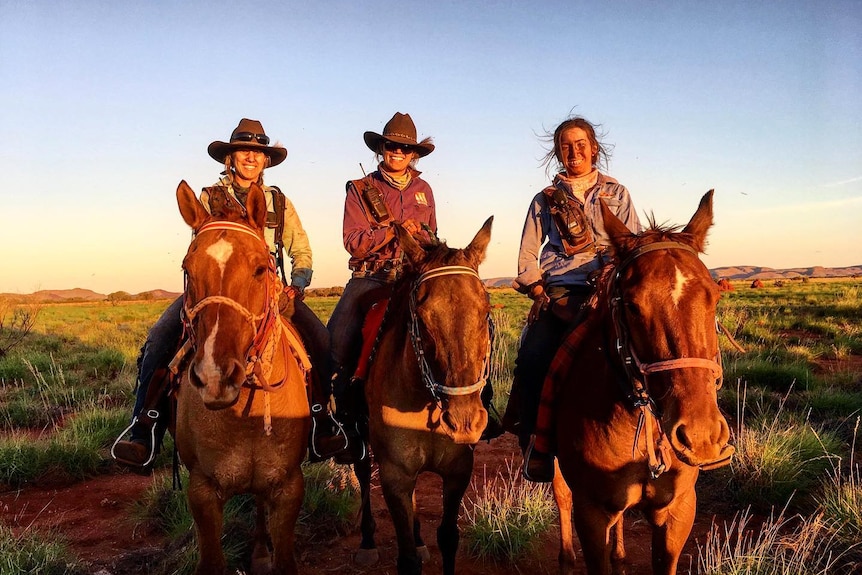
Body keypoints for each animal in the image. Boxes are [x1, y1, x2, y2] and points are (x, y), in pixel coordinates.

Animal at [174, 180, 312, 575]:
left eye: (261, 269)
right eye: (188, 269)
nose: (215, 376)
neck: (244, 419)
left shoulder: (288, 486)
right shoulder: (202, 491)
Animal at [352, 217, 496, 575]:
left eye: (485, 308)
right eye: (421, 314)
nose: (464, 422)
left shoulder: (458, 471)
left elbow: (447, 537)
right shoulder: (394, 477)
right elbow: (406, 560)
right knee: (362, 476)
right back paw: (367, 543)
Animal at [548, 192, 736, 575]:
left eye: (714, 297)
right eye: (633, 306)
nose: (701, 436)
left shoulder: (678, 511)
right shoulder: (591, 514)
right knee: (561, 495)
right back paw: (566, 559)